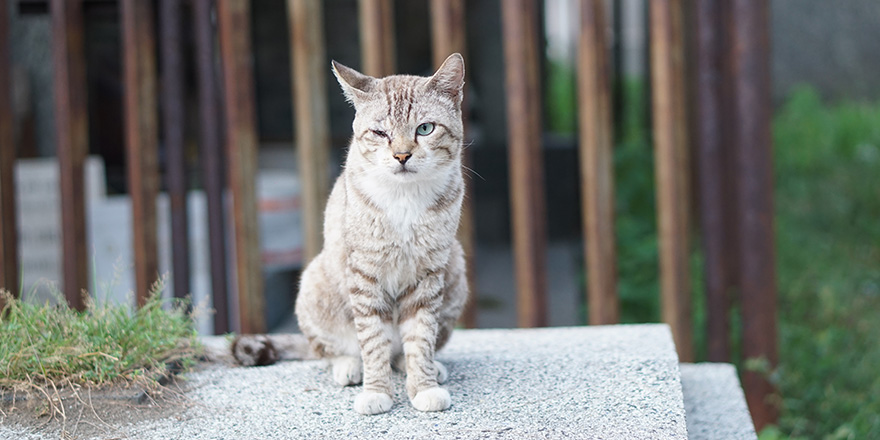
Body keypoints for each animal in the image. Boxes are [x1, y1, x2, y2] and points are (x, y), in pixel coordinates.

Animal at [230, 53, 470, 414]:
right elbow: (372, 339)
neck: (405, 198)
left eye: (425, 129)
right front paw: (376, 393)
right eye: (380, 133)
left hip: (455, 267)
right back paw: (348, 366)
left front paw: (424, 387)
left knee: (402, 350)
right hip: (314, 282)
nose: (402, 155)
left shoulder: (428, 272)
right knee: (330, 350)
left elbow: (420, 338)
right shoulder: (364, 272)